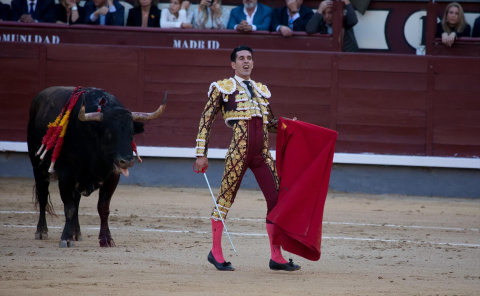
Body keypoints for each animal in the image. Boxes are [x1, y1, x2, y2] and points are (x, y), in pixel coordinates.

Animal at [28, 86, 168, 247]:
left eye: (132, 132)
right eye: (108, 133)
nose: (127, 161)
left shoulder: (112, 177)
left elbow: (103, 208)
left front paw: (106, 239)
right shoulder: (66, 176)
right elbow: (69, 208)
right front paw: (66, 239)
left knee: (76, 201)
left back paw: (77, 233)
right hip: (38, 166)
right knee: (43, 195)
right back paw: (41, 231)